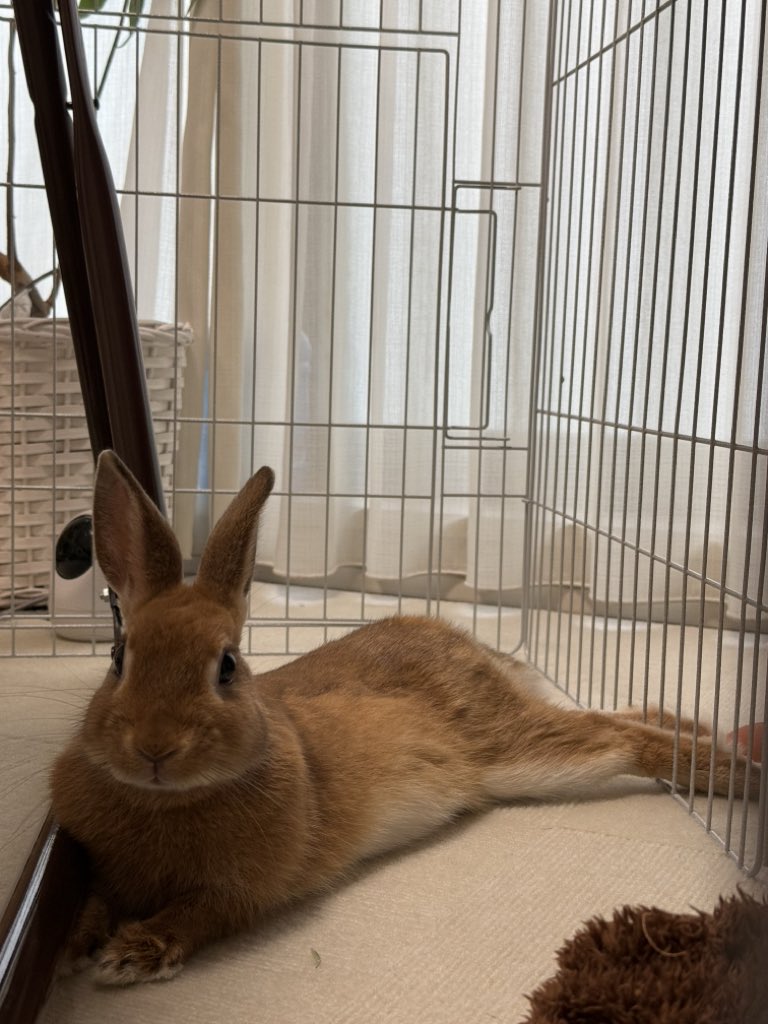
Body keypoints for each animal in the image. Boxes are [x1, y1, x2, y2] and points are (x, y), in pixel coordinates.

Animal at [51, 450, 760, 986]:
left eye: (226, 666)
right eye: (118, 658)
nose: (155, 748)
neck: (165, 800)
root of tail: (473, 647)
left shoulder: (245, 889)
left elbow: (199, 916)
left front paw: (130, 954)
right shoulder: (99, 863)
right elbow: (91, 898)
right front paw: (73, 946)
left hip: (519, 753)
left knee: (624, 737)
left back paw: (741, 774)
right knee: (629, 713)